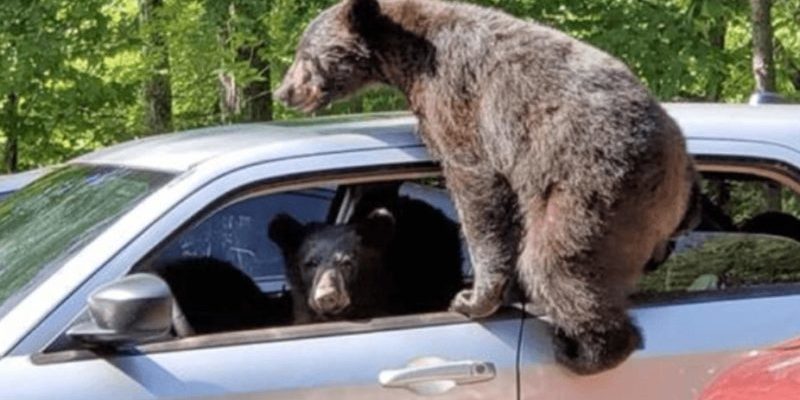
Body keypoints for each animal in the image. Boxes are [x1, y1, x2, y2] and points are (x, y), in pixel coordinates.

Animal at [276, 0, 700, 376]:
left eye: (304, 54)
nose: (284, 91)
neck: (407, 58)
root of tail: (678, 173)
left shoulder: (458, 101)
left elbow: (475, 187)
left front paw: (472, 298)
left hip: (590, 186)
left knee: (555, 263)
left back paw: (585, 351)